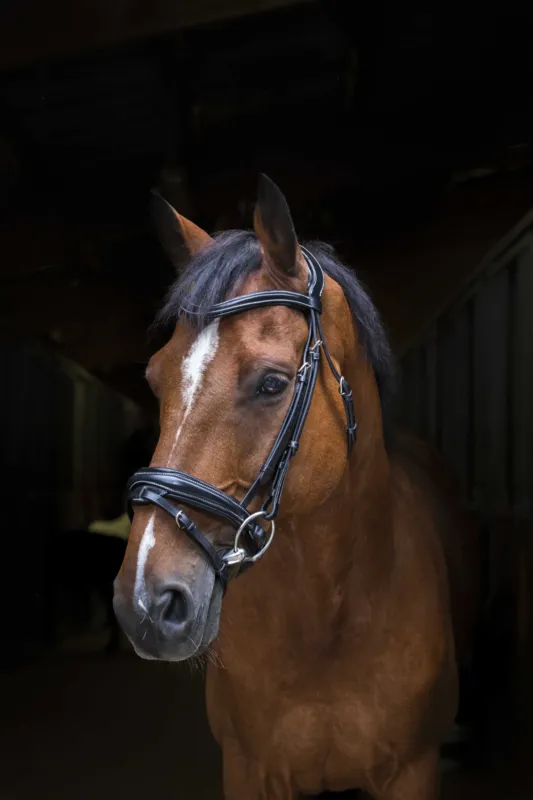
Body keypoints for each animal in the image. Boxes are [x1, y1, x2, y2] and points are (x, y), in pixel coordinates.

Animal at [113, 174, 479, 798]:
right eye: (156, 380)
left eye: (272, 383)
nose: (145, 604)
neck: (325, 627)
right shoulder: (249, 771)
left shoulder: (413, 770)